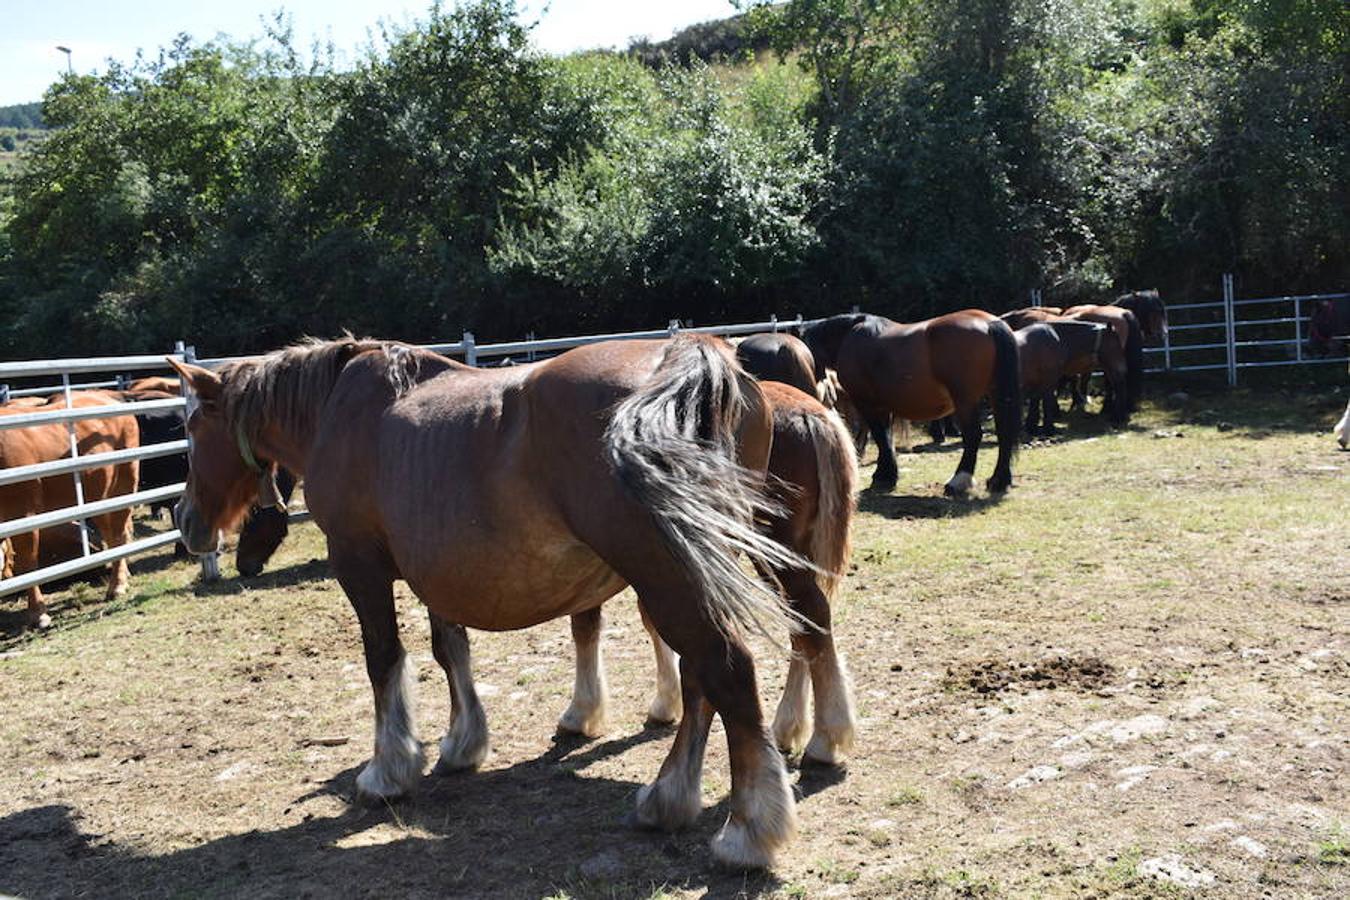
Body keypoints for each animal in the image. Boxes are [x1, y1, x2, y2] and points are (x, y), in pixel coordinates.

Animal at [0, 391, 139, 631]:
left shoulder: (23, 511)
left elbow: (28, 564)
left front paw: (38, 613)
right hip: (98, 496)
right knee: (112, 536)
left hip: (125, 483)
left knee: (120, 534)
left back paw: (117, 585)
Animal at [164, 334, 804, 868]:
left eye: (193, 427)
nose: (188, 522)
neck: (338, 411)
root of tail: (690, 356)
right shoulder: (436, 574)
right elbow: (451, 651)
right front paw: (461, 744)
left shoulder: (360, 567)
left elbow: (383, 661)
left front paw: (387, 772)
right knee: (701, 679)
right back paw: (668, 799)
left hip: (667, 575)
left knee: (726, 669)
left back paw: (748, 831)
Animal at [553, 380, 858, 766]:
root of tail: (812, 414)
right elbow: (649, 622)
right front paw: (665, 703)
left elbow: (586, 626)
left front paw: (581, 712)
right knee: (801, 625)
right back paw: (788, 728)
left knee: (811, 617)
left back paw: (824, 741)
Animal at [793, 313, 1015, 496]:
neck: (848, 336)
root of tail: (989, 323)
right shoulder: (883, 405)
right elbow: (886, 438)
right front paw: (886, 474)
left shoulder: (867, 403)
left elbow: (880, 436)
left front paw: (884, 476)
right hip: (996, 394)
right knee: (1004, 432)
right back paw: (999, 481)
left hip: (965, 401)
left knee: (973, 435)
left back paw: (958, 481)